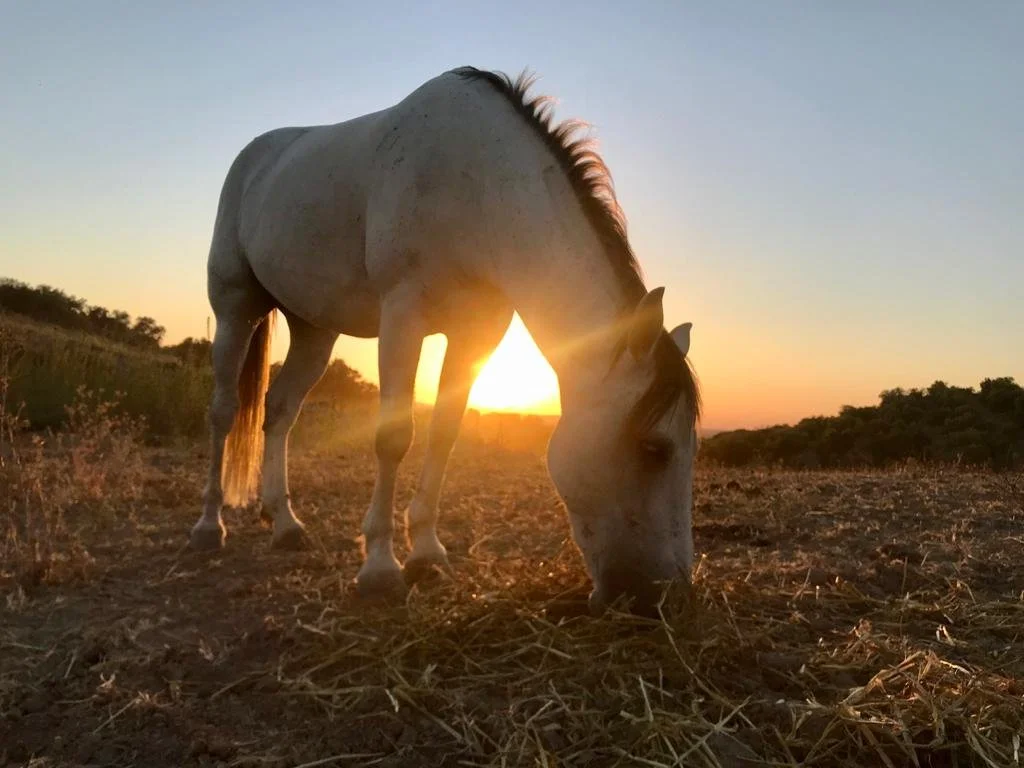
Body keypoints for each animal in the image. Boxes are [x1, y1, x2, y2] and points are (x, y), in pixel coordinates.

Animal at [189, 66, 701, 614]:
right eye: (654, 448)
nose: (666, 596)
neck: (472, 182)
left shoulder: (477, 335)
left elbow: (445, 433)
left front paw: (427, 554)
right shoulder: (402, 317)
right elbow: (394, 436)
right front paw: (380, 568)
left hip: (314, 329)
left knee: (280, 410)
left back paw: (284, 524)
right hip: (235, 308)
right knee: (223, 411)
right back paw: (209, 526)